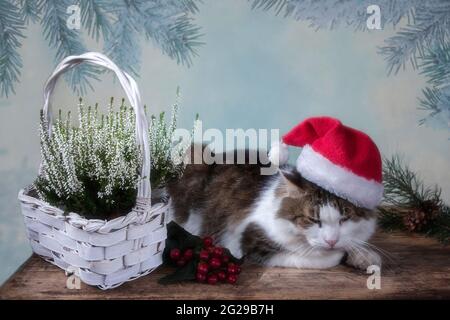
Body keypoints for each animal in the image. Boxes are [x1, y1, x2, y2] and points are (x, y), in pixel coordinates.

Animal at [167, 145, 382, 270]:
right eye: (313, 220)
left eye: (344, 219)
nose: (331, 241)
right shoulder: (251, 241)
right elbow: (314, 258)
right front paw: (339, 254)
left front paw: (364, 255)